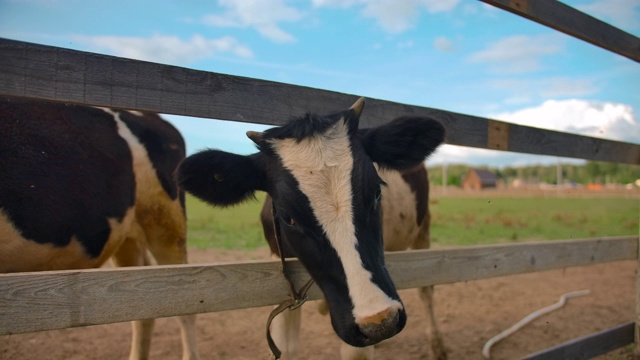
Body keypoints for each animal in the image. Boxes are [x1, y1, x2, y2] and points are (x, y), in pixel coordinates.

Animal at [175, 96, 444, 358]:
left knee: (427, 289)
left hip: (424, 229)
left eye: (377, 192)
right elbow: (287, 348)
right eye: (287, 216)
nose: (380, 322)